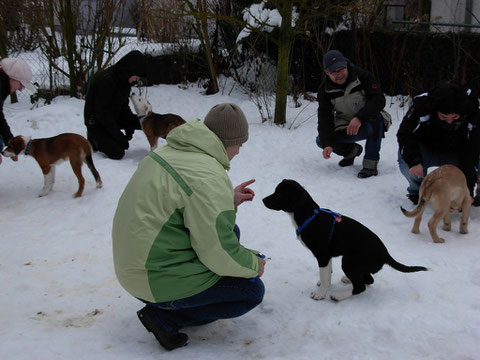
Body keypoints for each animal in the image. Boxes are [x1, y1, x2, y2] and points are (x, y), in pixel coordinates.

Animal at [262, 179, 428, 300]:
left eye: (279, 194)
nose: (263, 199)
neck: (310, 216)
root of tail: (385, 254)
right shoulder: (328, 256)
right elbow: (327, 274)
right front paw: (324, 285)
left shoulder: (323, 255)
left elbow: (324, 275)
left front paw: (320, 294)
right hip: (355, 263)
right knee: (367, 280)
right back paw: (348, 280)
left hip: (349, 261)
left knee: (361, 286)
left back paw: (338, 296)